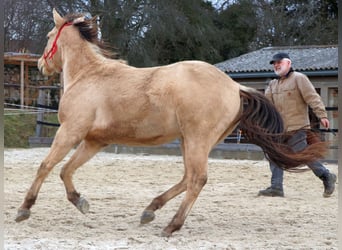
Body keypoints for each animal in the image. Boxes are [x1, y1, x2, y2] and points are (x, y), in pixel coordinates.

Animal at [14, 9, 328, 236]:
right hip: (189, 140)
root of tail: (234, 86)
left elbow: (46, 166)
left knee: (197, 179)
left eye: (48, 35)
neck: (88, 76)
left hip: (197, 138)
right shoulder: (94, 141)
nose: (40, 65)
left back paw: (171, 225)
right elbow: (65, 170)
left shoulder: (71, 131)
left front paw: (24, 209)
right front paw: (81, 202)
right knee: (188, 178)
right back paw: (150, 210)